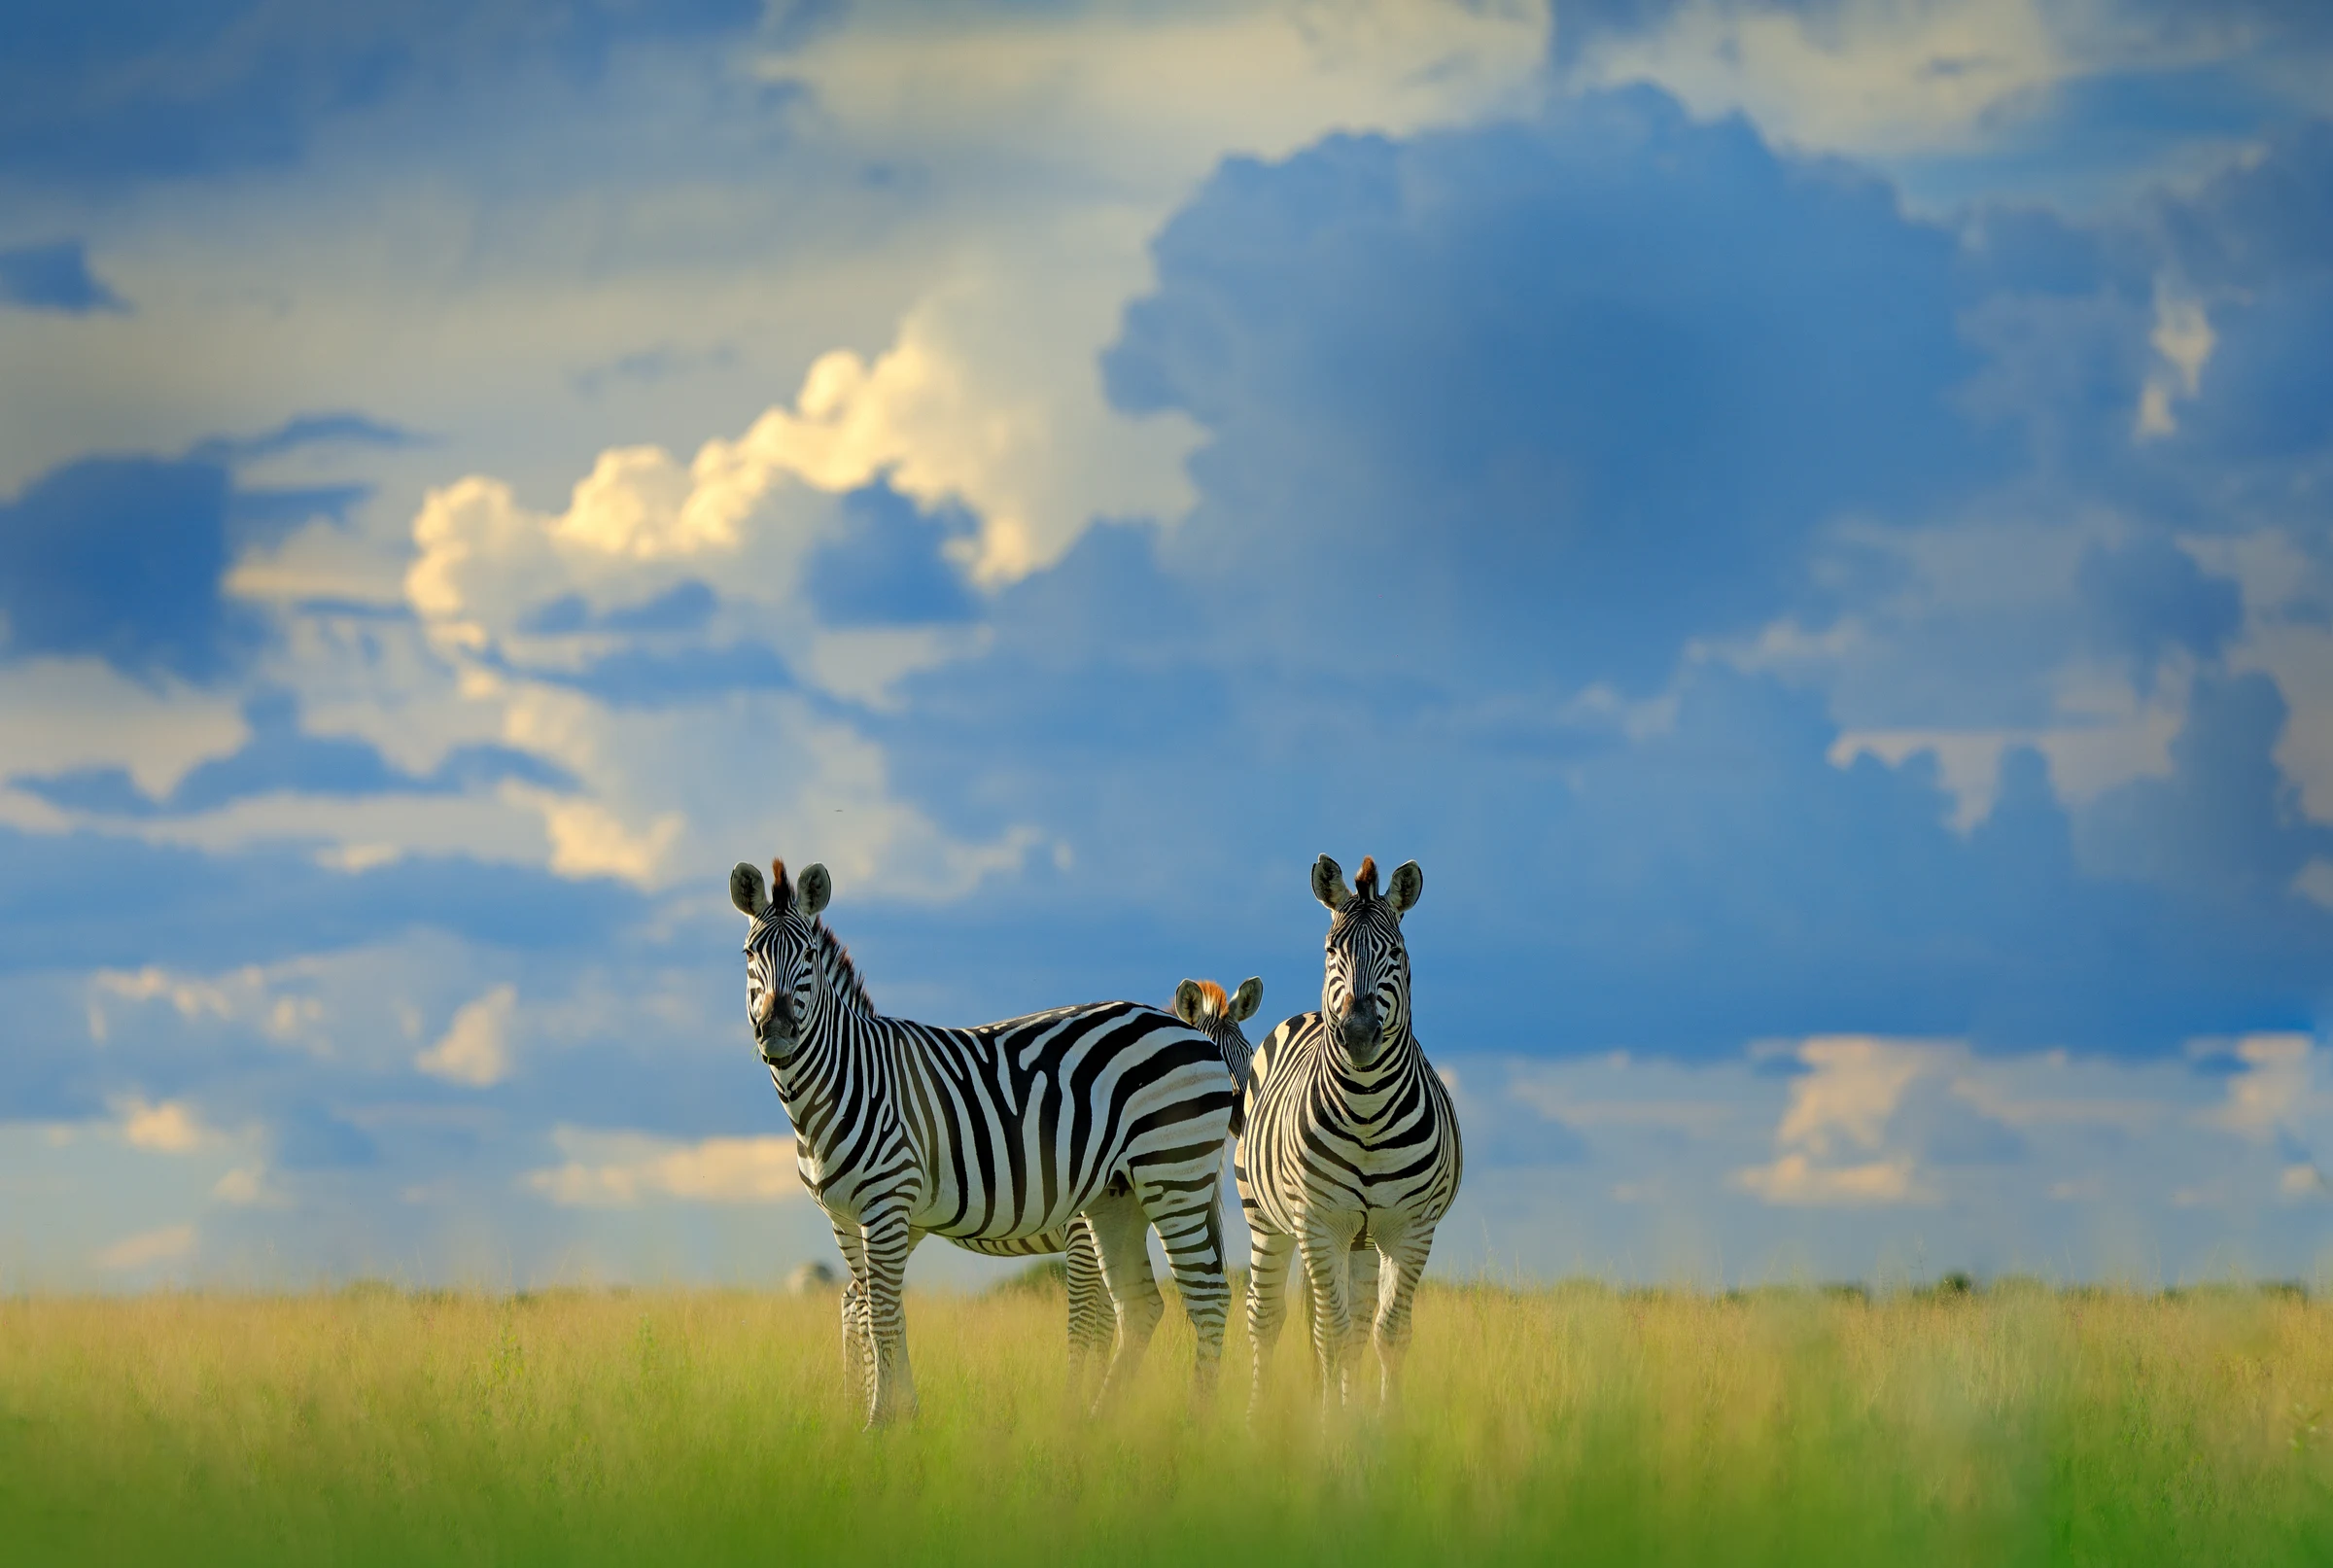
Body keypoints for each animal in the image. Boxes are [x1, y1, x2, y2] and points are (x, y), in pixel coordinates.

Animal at [731, 857, 1239, 1425]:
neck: (848, 1077)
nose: (775, 1027)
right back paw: (1096, 1423)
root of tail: (1186, 1032)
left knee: (1208, 1298)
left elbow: (884, 1313)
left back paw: (1193, 1424)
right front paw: (897, 1416)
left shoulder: (886, 1204)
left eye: (810, 956)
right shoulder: (843, 1217)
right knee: (1140, 1304)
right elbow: (873, 1310)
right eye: (749, 954)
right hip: (1118, 1197)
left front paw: (880, 1423)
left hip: (1173, 1178)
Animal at [1236, 853, 1463, 1410]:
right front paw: (1330, 1427)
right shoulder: (1319, 1224)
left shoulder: (1411, 1230)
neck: (1367, 1112)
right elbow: (1330, 1336)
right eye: (1330, 951)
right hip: (1267, 1220)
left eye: (1396, 952)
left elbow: (1388, 1334)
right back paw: (1255, 1418)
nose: (1358, 1033)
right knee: (1268, 1319)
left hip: (1362, 1240)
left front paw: (1378, 1424)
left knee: (1359, 1326)